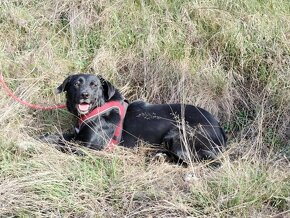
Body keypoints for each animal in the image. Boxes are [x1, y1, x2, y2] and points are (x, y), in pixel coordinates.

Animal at [44, 73, 227, 164]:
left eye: (94, 85)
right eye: (76, 83)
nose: (84, 95)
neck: (98, 109)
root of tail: (219, 128)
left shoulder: (88, 148)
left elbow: (62, 144)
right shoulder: (77, 136)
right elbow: (57, 136)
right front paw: (44, 138)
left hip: (179, 134)